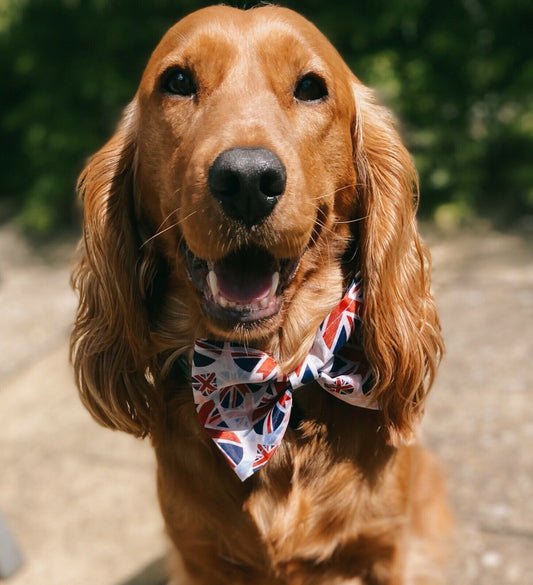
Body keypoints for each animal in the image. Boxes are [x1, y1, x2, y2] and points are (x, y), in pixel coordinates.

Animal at [71, 5, 448, 584]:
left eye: (311, 87)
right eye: (177, 81)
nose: (247, 179)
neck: (268, 375)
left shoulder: (385, 549)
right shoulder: (198, 556)